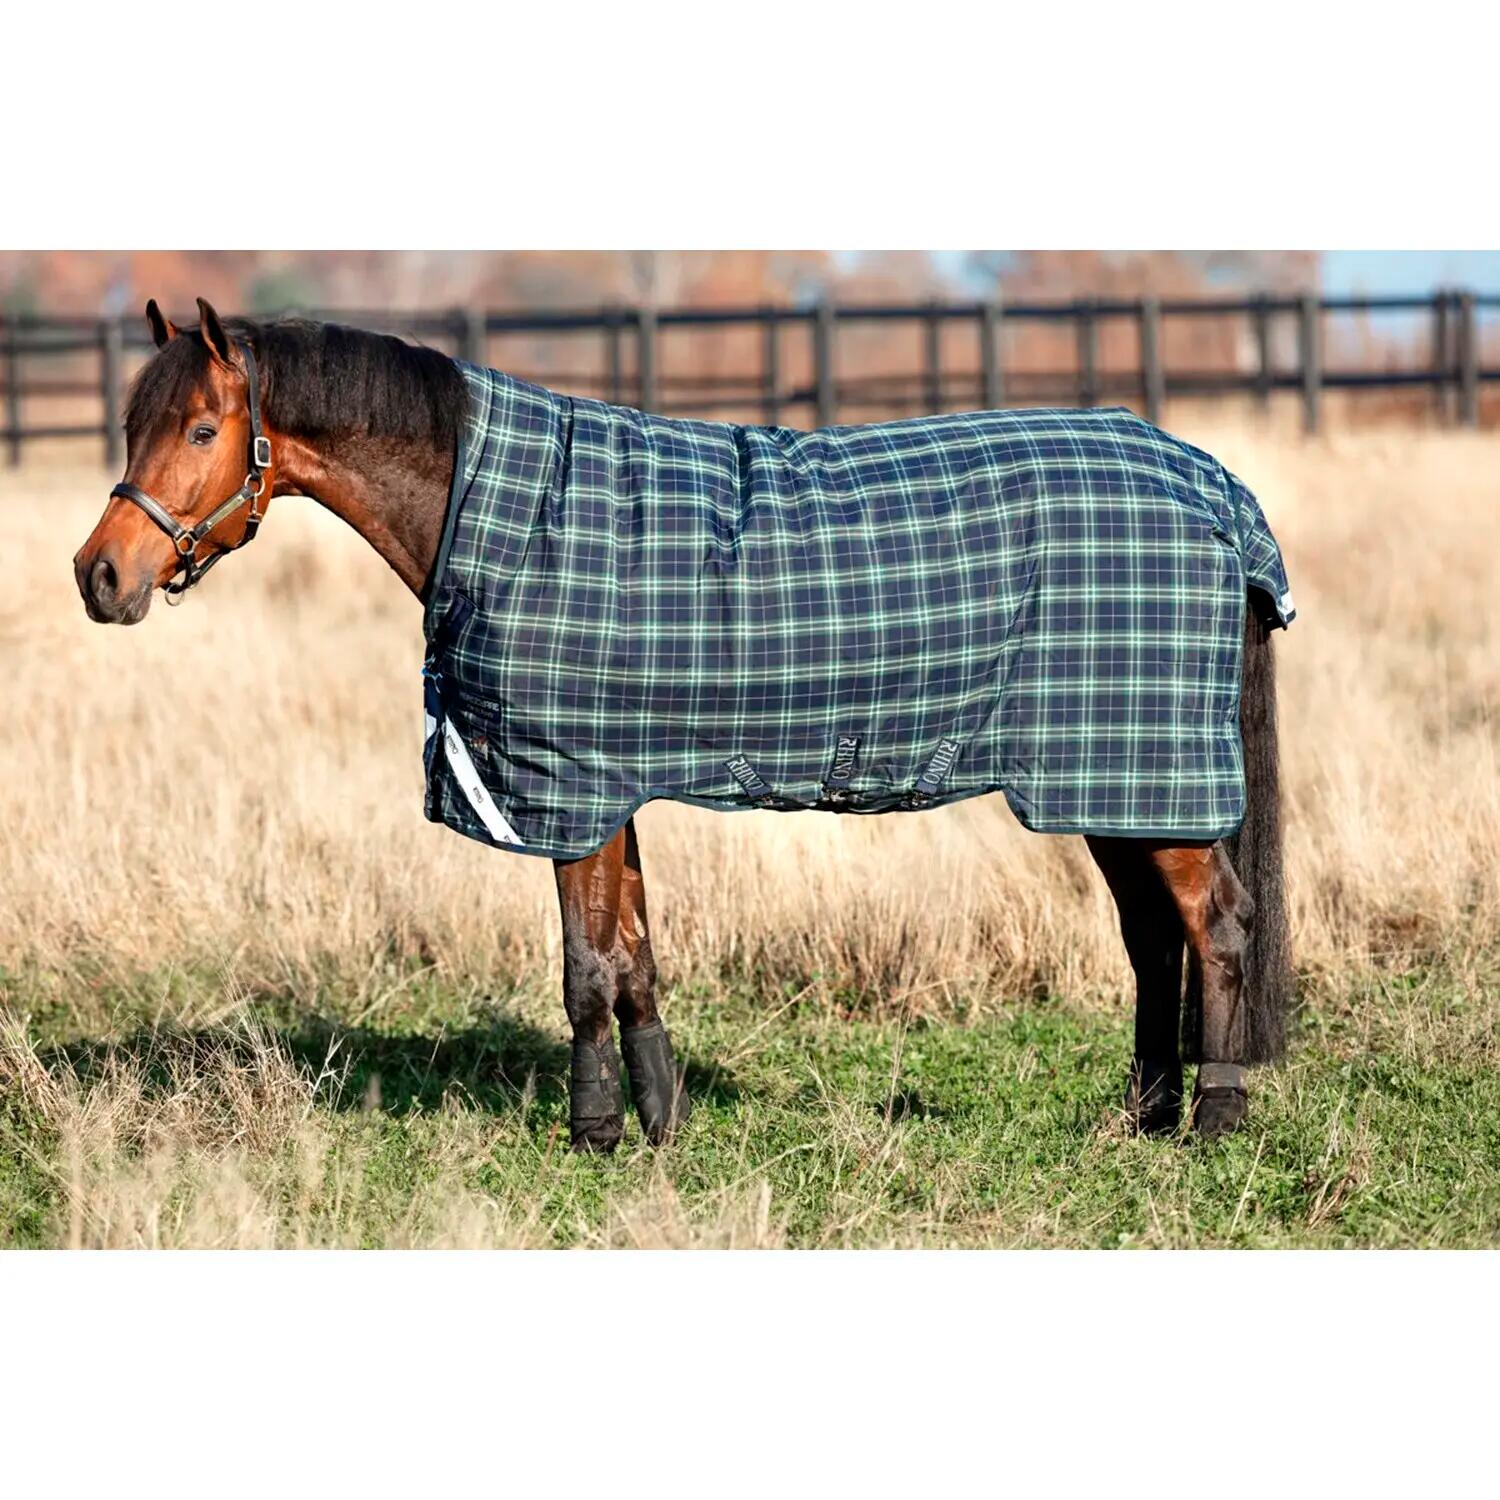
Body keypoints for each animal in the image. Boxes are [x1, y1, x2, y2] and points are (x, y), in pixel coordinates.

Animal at [72, 298, 1293, 1149]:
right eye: (133, 423)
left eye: (201, 428)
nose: (100, 576)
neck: (507, 514)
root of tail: (1214, 486)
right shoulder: (607, 786)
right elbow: (635, 959)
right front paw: (661, 1123)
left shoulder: (566, 787)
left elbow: (584, 967)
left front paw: (594, 1132)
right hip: (1110, 779)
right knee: (1153, 941)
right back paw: (1140, 1115)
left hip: (1146, 774)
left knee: (1221, 927)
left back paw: (1213, 1120)